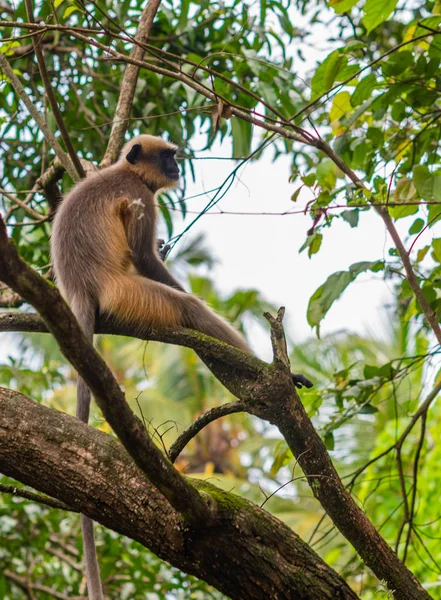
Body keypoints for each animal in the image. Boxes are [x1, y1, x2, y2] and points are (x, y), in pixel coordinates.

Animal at [49, 135, 312, 600]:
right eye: (168, 156)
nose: (176, 167)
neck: (126, 172)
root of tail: (78, 287)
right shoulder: (139, 197)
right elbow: (146, 258)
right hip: (127, 294)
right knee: (187, 308)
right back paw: (269, 376)